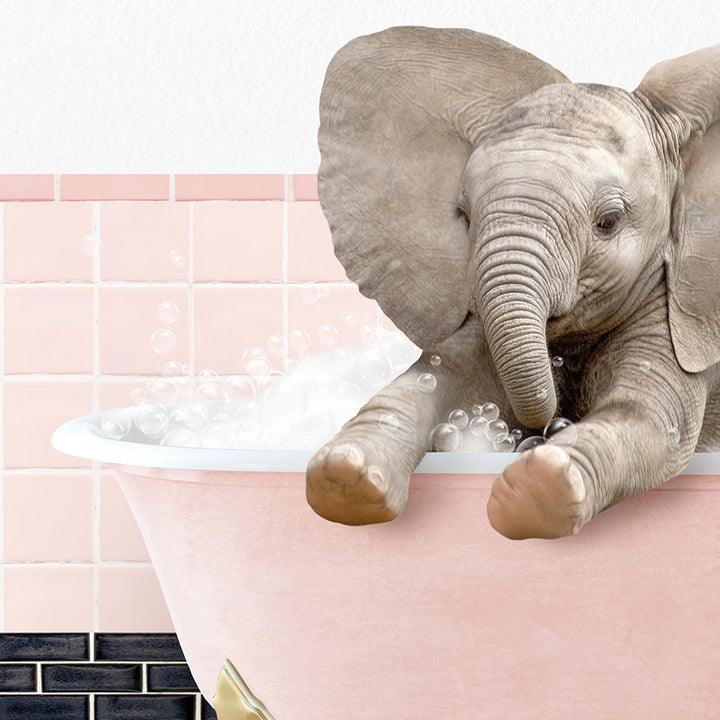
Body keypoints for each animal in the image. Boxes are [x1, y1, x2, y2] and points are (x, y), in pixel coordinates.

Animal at [306, 26, 720, 540]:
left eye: (608, 222)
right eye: (463, 216)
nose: (545, 429)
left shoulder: (686, 310)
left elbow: (651, 420)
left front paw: (537, 488)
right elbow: (438, 378)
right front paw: (344, 476)